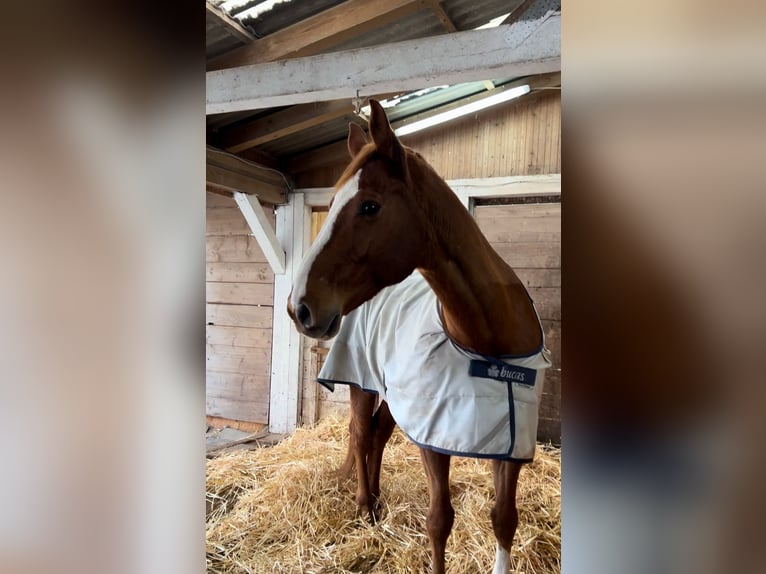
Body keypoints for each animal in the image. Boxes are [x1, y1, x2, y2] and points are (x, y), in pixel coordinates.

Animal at [288, 101, 544, 574]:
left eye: (369, 206)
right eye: (329, 204)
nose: (299, 307)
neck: (488, 339)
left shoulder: (510, 444)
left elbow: (504, 519)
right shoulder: (435, 440)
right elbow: (439, 521)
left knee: (376, 435)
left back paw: (375, 502)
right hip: (362, 384)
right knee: (360, 434)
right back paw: (363, 505)